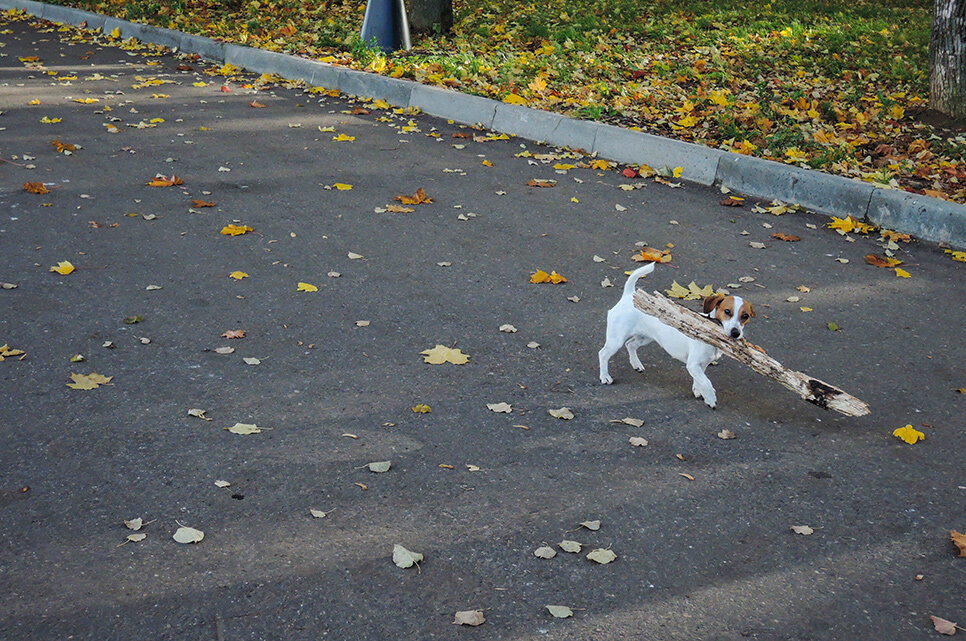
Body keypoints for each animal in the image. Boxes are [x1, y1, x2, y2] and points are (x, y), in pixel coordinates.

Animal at [596, 262, 756, 408]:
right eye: (727, 311)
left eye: (745, 316)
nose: (736, 333)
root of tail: (629, 295)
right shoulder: (693, 364)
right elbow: (706, 381)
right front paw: (710, 398)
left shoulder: (701, 364)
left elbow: (700, 379)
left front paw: (698, 390)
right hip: (616, 340)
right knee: (603, 353)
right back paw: (605, 376)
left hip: (645, 338)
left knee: (630, 344)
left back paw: (636, 364)